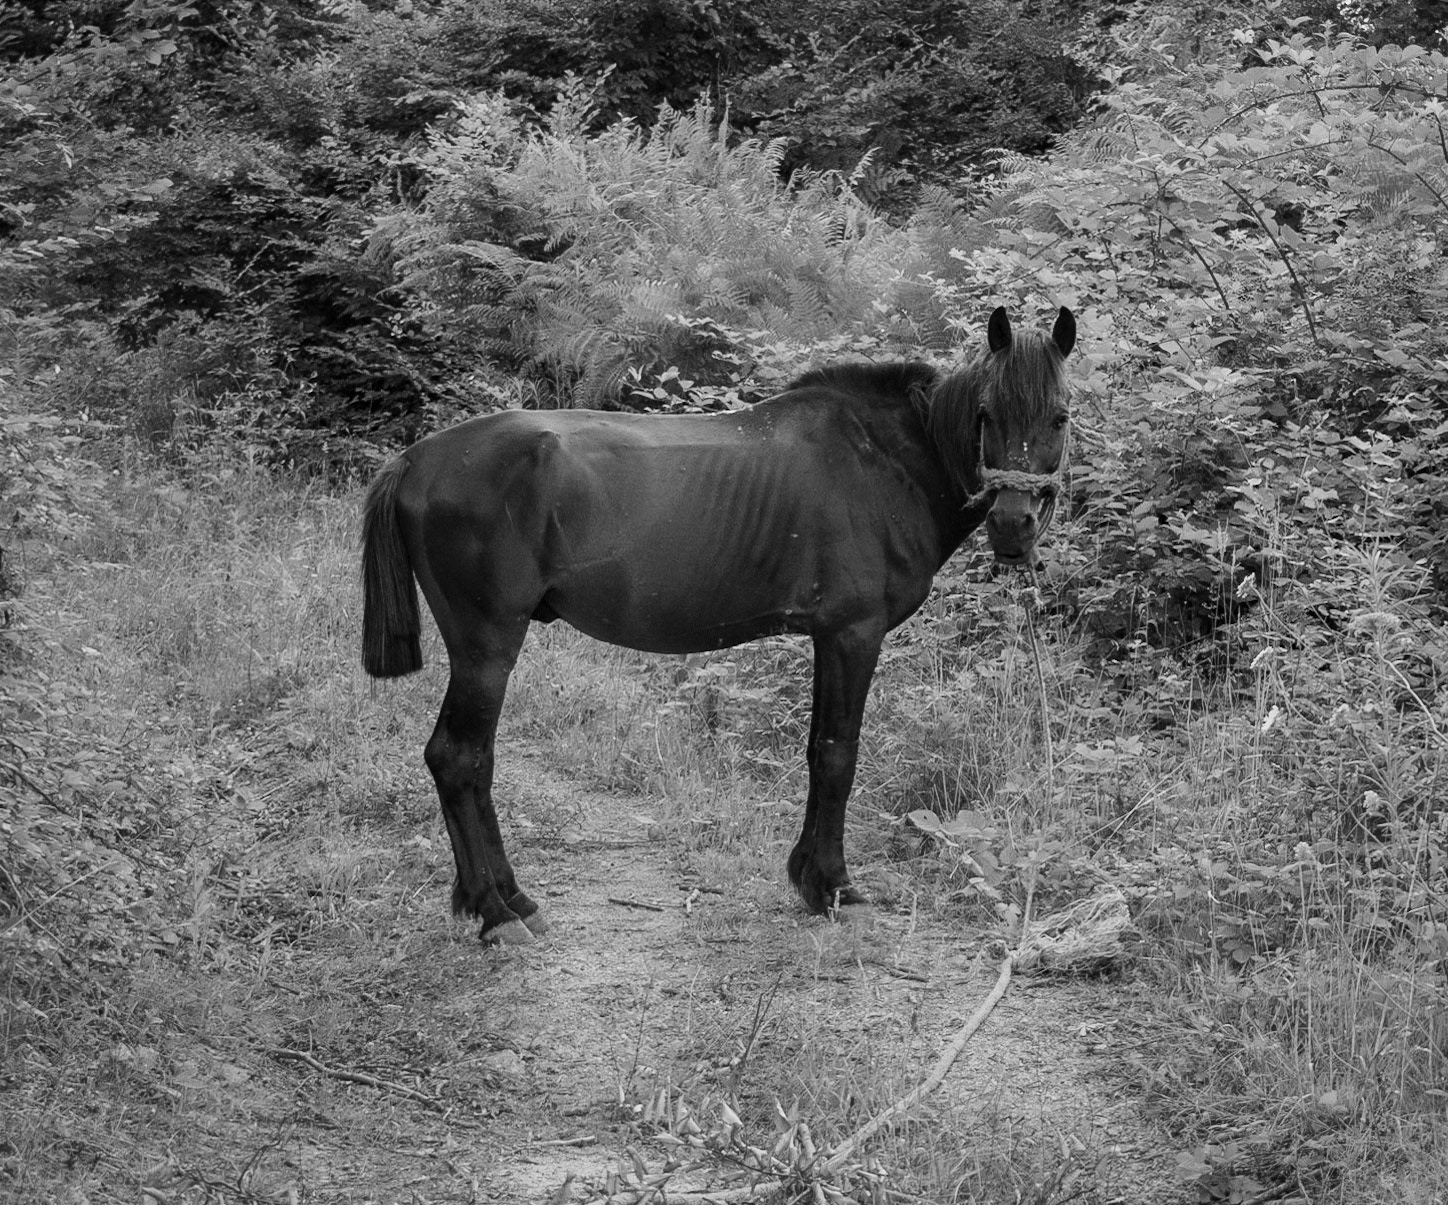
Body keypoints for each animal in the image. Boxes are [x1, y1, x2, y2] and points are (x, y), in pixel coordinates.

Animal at [361, 306, 1076, 945]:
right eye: (986, 414)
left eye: (1061, 416)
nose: (1013, 527)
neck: (884, 460)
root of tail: (416, 459)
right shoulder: (852, 634)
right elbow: (838, 756)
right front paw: (836, 888)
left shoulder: (829, 638)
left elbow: (817, 751)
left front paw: (808, 878)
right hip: (487, 644)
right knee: (458, 758)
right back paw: (497, 912)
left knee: (470, 761)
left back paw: (505, 899)